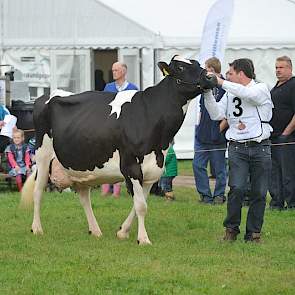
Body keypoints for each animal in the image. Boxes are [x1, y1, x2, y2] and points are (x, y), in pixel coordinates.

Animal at [21, 55, 217, 245]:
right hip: (42, 155)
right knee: (38, 190)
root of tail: (47, 95)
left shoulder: (152, 170)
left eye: (198, 64)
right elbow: (141, 206)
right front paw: (143, 239)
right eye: (181, 67)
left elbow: (140, 204)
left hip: (81, 167)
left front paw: (123, 232)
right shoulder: (131, 166)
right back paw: (37, 228)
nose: (211, 77)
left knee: (84, 196)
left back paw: (95, 230)